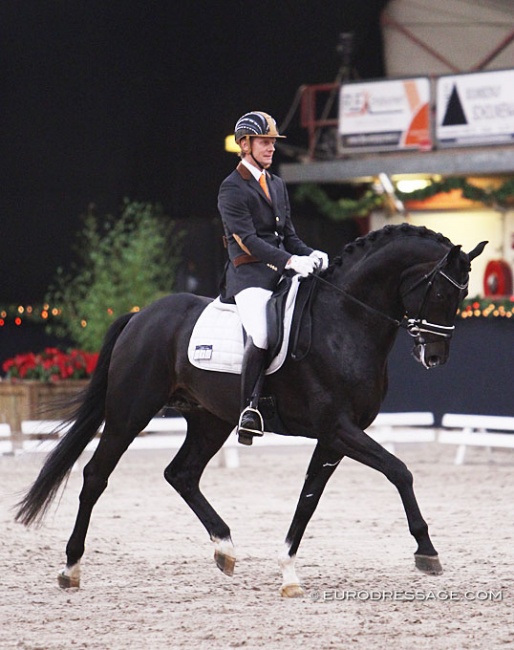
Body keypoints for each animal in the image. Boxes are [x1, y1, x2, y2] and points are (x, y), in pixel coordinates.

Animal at [17, 224, 484, 596]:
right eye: (442, 291)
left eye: (463, 295)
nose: (435, 357)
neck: (346, 321)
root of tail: (140, 316)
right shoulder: (339, 428)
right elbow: (399, 470)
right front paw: (427, 551)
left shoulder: (334, 436)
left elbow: (309, 499)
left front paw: (288, 572)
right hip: (130, 412)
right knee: (96, 475)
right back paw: (71, 569)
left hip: (210, 420)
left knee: (181, 473)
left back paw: (225, 549)